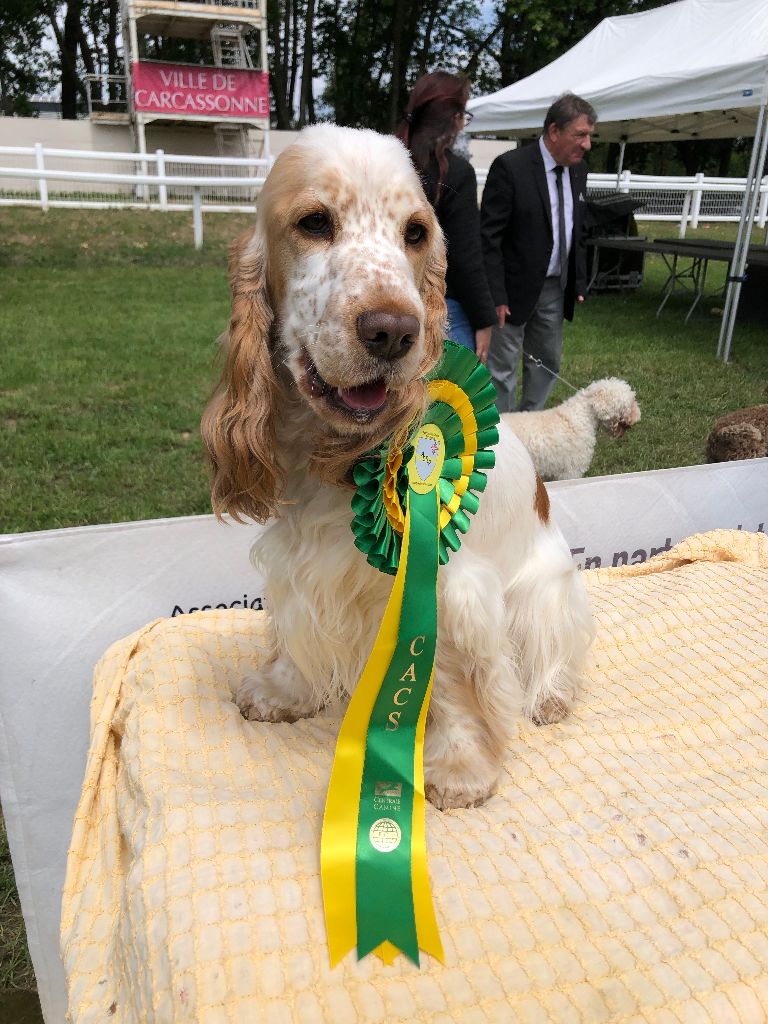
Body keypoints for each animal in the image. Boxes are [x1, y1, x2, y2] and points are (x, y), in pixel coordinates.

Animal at [199, 121, 593, 806]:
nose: (392, 331)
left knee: (555, 652)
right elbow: (297, 628)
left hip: (546, 591)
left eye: (415, 233)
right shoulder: (301, 564)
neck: (333, 455)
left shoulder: (451, 585)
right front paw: (282, 692)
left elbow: (456, 678)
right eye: (314, 222)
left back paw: (549, 697)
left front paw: (461, 766)